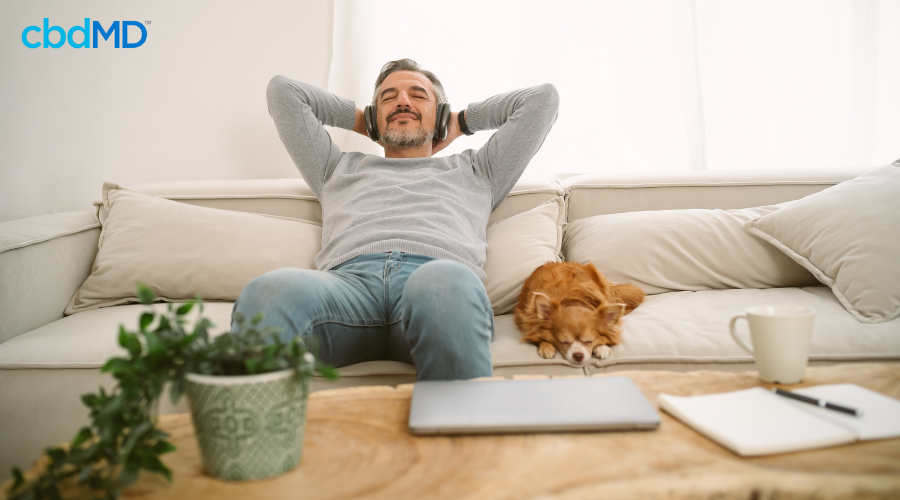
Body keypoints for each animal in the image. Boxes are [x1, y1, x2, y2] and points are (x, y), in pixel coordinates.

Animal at [512, 264, 640, 366]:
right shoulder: (527, 320)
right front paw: (546, 347)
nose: (578, 355)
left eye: (589, 341)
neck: (571, 301)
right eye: (563, 342)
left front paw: (602, 347)